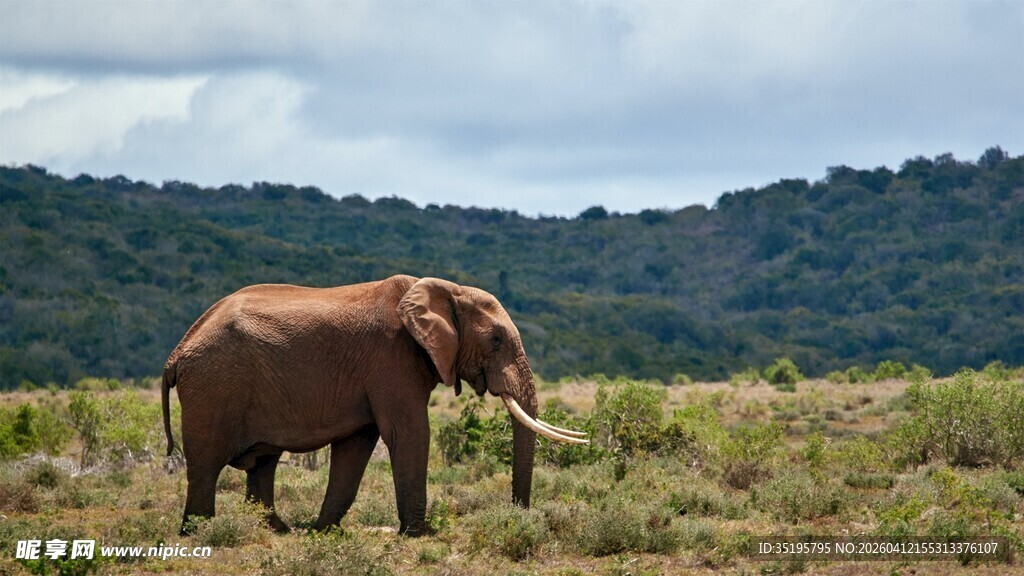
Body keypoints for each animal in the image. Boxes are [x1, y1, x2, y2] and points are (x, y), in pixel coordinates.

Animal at [161, 275, 586, 536]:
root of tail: (178, 350)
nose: (518, 516)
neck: (447, 289)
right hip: (214, 387)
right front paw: (419, 533)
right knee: (206, 464)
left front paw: (322, 531)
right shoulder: (391, 359)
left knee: (263, 462)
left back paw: (278, 530)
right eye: (496, 340)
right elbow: (410, 433)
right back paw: (201, 533)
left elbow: (356, 446)